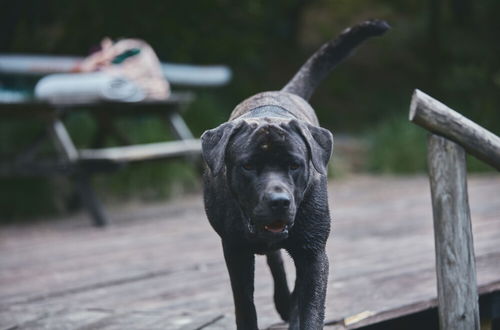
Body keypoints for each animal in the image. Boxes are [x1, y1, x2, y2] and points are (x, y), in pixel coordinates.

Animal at [201, 20, 388, 328]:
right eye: (248, 166)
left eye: (294, 165)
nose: (279, 201)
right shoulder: (236, 252)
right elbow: (245, 307)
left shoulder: (314, 254)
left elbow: (311, 307)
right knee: (275, 261)